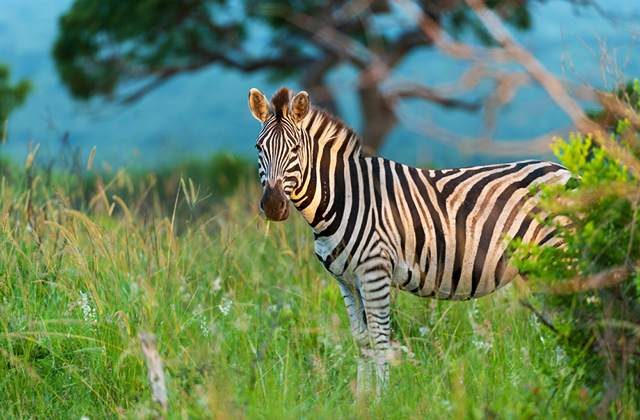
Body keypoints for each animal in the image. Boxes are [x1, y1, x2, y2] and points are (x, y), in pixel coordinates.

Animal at [248, 87, 572, 396]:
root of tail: (569, 171)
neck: (343, 196)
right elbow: (361, 341)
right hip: (540, 269)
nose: (274, 205)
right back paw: (561, 385)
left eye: (296, 149)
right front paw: (361, 400)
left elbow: (380, 340)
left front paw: (382, 400)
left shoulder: (375, 271)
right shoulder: (347, 280)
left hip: (563, 259)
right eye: (258, 148)